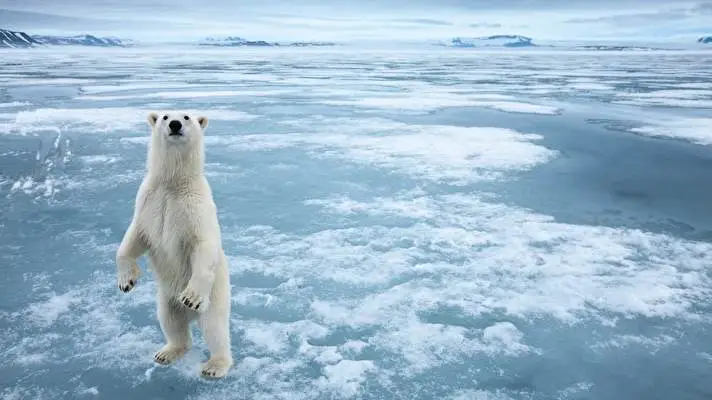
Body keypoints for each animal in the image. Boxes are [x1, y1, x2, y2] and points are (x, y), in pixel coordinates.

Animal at [115, 111, 233, 379]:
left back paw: (215, 365)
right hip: (166, 298)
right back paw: (167, 352)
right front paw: (126, 281)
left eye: (187, 116)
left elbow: (203, 245)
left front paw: (190, 296)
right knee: (170, 322)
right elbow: (134, 238)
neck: (173, 183)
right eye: (165, 116)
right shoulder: (148, 202)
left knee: (215, 328)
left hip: (215, 296)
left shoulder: (195, 207)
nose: (175, 124)